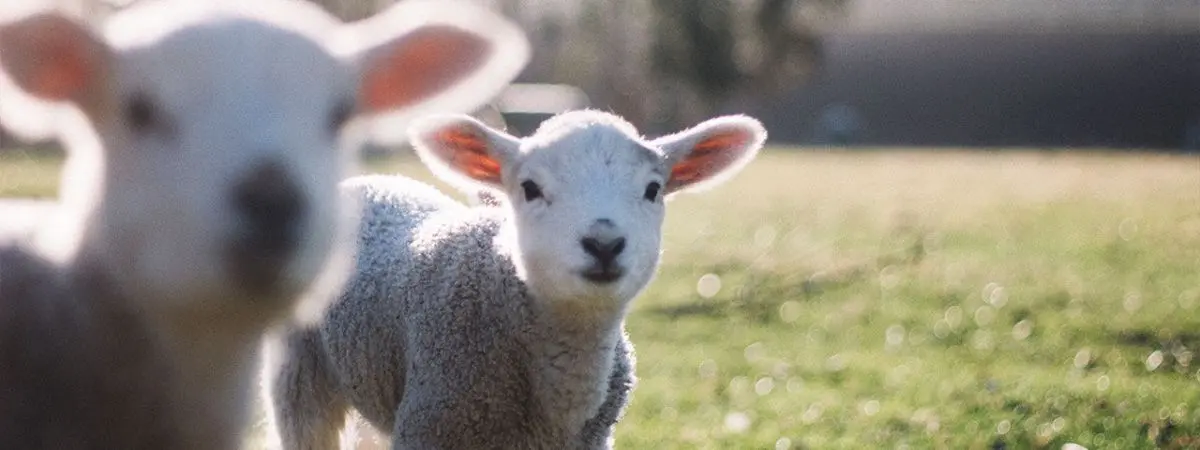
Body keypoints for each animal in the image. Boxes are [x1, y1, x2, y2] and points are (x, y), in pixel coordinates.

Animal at [264, 109, 766, 449]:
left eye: (652, 189)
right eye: (530, 188)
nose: (604, 243)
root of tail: (371, 180)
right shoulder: (431, 423)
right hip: (299, 377)